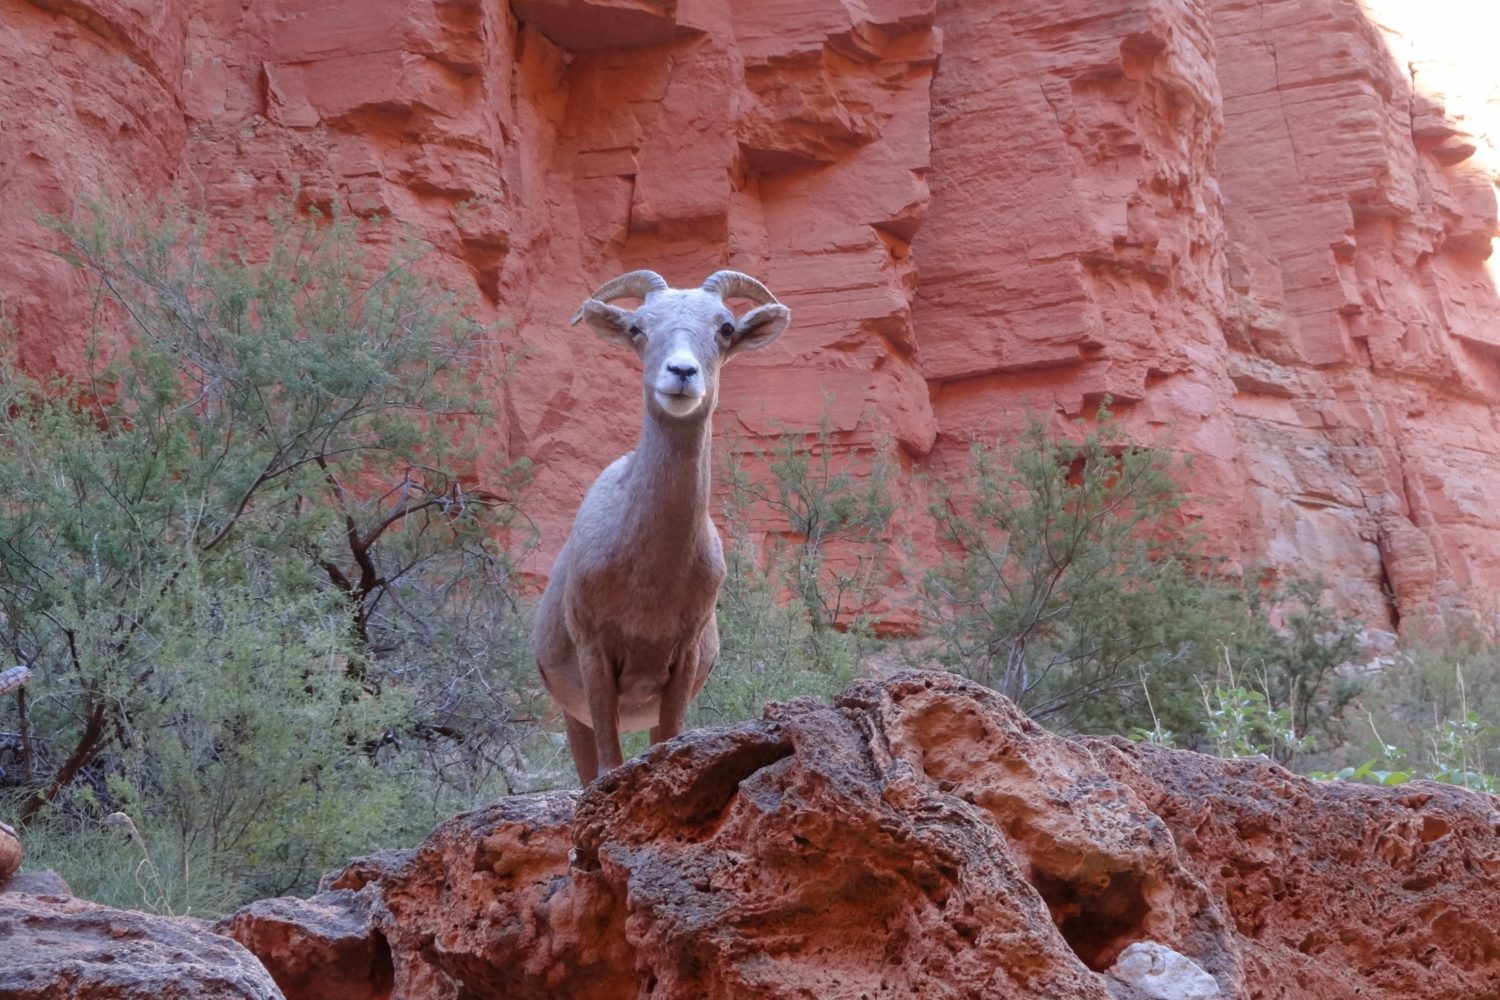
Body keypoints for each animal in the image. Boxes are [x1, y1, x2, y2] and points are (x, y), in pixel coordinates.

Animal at [531, 271, 792, 779]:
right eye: (638, 328)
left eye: (725, 328)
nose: (682, 373)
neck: (650, 581)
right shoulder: (595, 658)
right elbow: (609, 767)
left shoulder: (681, 662)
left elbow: (671, 741)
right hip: (574, 719)